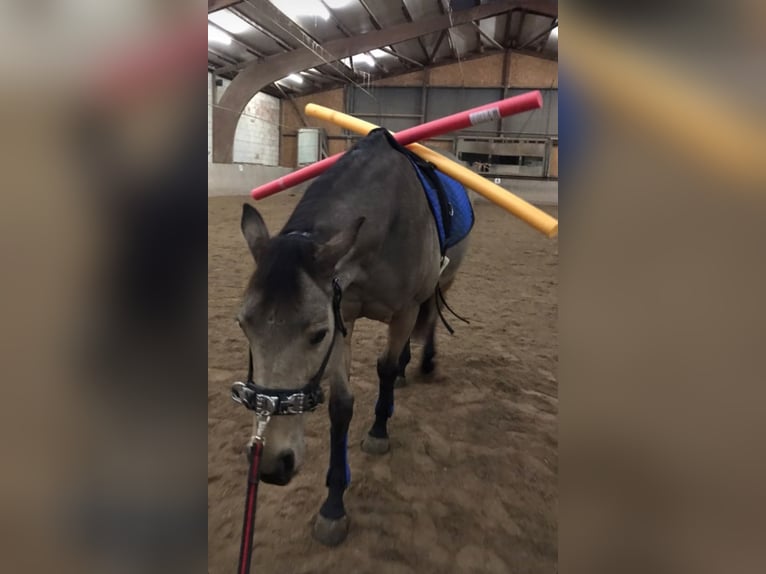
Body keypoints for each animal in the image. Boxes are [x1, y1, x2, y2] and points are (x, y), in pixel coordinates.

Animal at [235, 129, 471, 546]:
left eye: (317, 334)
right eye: (244, 325)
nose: (273, 463)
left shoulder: (400, 311)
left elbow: (385, 367)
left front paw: (378, 432)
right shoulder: (342, 312)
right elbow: (341, 406)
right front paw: (333, 506)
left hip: (443, 281)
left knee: (430, 320)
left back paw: (425, 363)